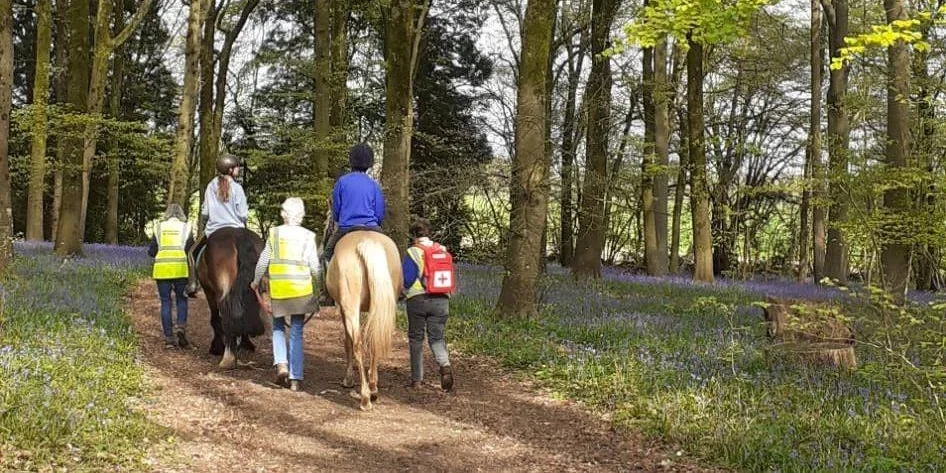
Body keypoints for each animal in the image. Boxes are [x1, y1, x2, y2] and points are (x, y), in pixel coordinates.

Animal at [196, 226, 266, 368]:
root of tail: (238, 233)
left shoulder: (209, 292)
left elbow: (215, 319)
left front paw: (216, 347)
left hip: (221, 292)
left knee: (226, 313)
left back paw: (228, 357)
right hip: (255, 288)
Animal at [324, 230, 402, 408]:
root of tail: (367, 241)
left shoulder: (343, 310)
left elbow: (347, 343)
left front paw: (348, 380)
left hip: (350, 307)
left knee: (357, 344)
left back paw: (365, 397)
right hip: (379, 307)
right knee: (374, 341)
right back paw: (373, 389)